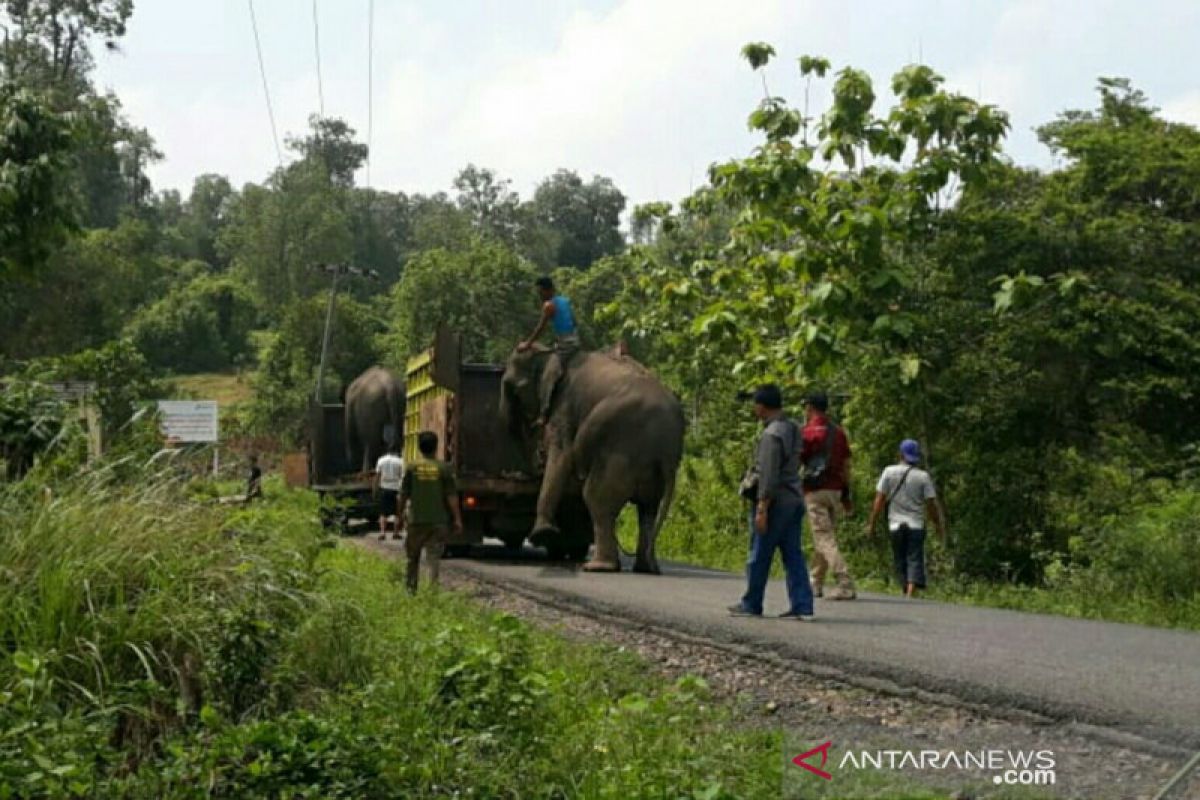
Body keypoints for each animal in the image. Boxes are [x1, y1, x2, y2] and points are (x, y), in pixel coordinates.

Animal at [496, 347, 686, 573]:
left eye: (511, 387)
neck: (553, 353)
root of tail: (668, 449)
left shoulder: (565, 406)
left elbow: (562, 453)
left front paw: (542, 534)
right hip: (648, 466)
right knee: (648, 509)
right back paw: (645, 568)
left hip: (622, 452)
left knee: (597, 498)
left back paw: (597, 566)